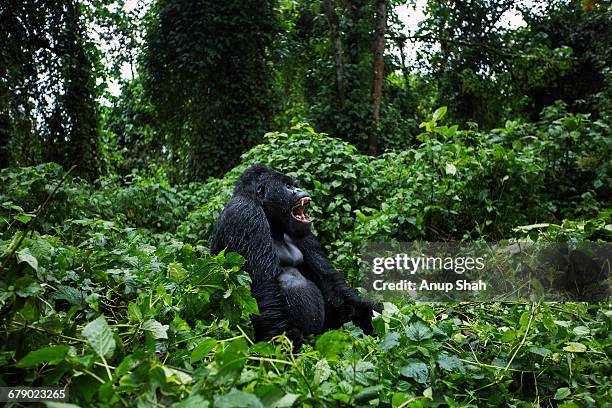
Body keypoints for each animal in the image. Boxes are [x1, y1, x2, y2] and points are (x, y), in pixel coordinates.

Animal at [213, 164, 380, 346]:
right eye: (287, 186)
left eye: (294, 185)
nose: (299, 189)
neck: (272, 222)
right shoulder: (245, 214)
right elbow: (265, 291)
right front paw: (286, 349)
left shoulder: (303, 232)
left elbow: (332, 286)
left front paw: (373, 315)